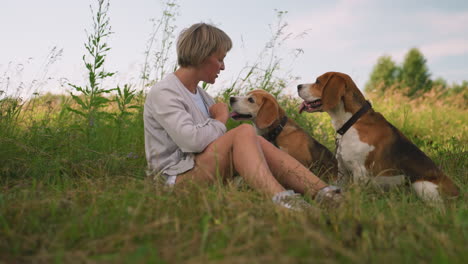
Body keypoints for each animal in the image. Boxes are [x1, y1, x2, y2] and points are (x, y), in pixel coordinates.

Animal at [298, 71, 458, 203]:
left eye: (318, 81)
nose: (298, 86)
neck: (352, 122)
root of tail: (459, 193)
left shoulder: (360, 172)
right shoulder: (342, 170)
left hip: (422, 184)